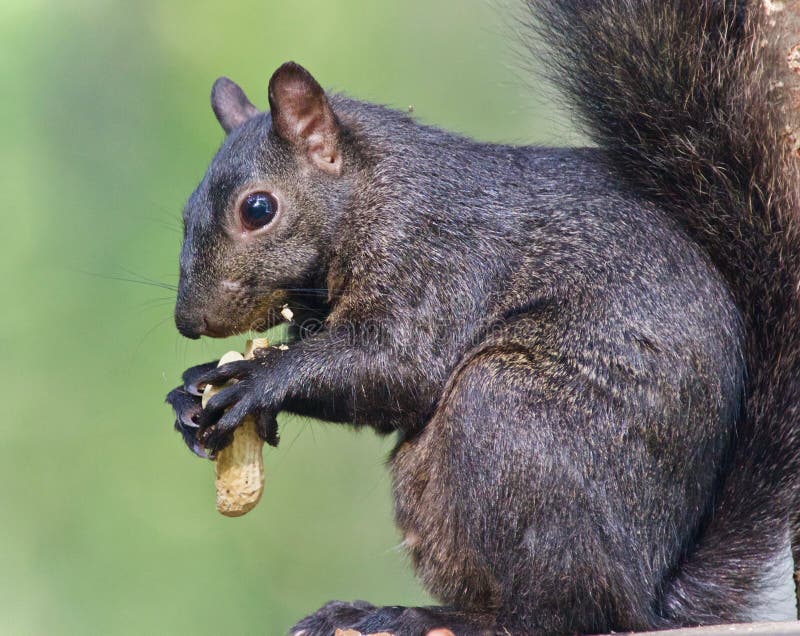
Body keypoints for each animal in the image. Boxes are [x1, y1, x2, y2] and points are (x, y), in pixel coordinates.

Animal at [166, 0, 800, 634]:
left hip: (507, 416)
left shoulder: (439, 260)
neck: (374, 193)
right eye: (186, 212)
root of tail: (651, 594)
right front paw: (191, 391)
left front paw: (256, 381)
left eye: (258, 208)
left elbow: (396, 370)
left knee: (561, 613)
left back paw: (419, 614)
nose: (188, 323)